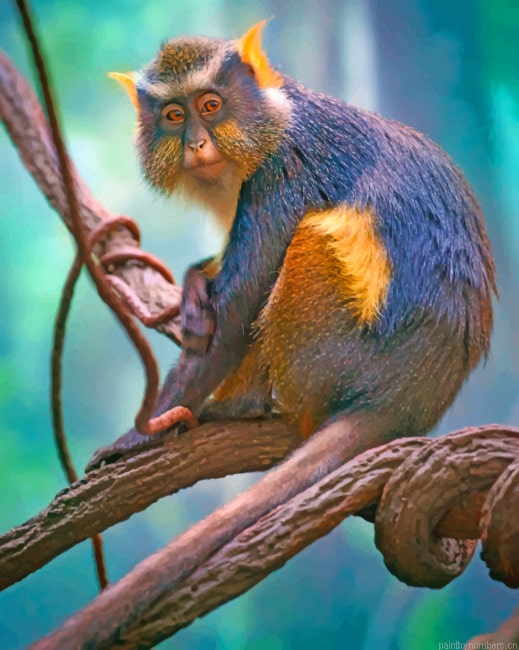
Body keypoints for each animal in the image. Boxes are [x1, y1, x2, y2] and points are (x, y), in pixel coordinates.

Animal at [89, 20, 495, 499]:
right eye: (174, 116)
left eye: (210, 106)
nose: (196, 142)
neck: (274, 118)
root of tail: (405, 399)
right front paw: (194, 285)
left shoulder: (283, 171)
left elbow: (236, 313)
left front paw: (135, 437)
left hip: (335, 361)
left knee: (311, 238)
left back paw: (244, 405)